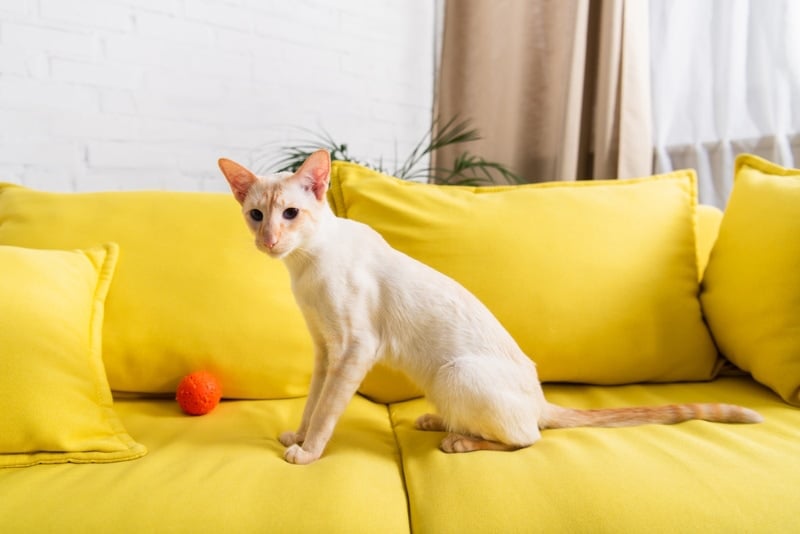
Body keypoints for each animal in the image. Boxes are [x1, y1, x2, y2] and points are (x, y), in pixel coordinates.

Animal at [217, 150, 764, 464]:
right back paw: (438, 422)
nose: (269, 240)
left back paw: (458, 440)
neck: (305, 269)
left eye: (291, 214)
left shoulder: (353, 350)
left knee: (527, 437)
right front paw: (298, 434)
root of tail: (540, 398)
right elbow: (313, 403)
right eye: (257, 216)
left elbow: (328, 410)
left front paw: (308, 452)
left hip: (455, 372)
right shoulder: (324, 352)